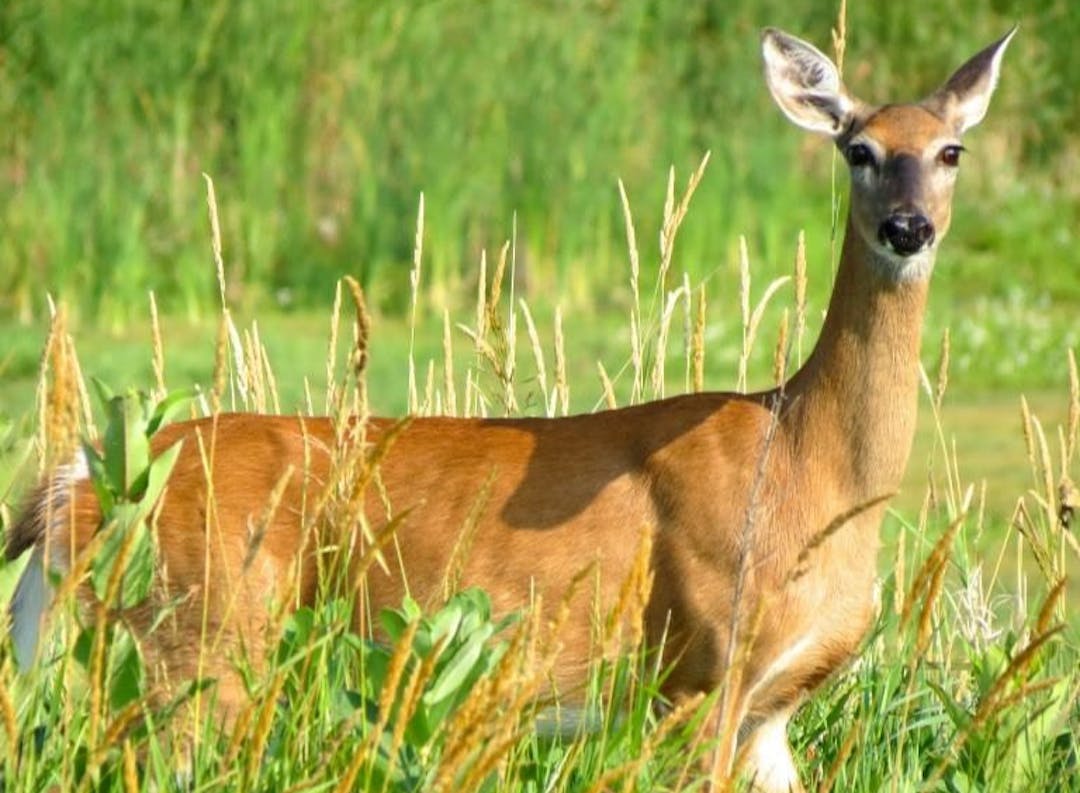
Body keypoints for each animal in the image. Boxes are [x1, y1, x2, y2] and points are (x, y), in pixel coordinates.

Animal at [7, 26, 1012, 792]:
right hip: (200, 638)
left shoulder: (770, 710)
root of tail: (84, 480)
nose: (908, 227)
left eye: (950, 150)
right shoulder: (703, 668)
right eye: (858, 149)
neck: (807, 463)